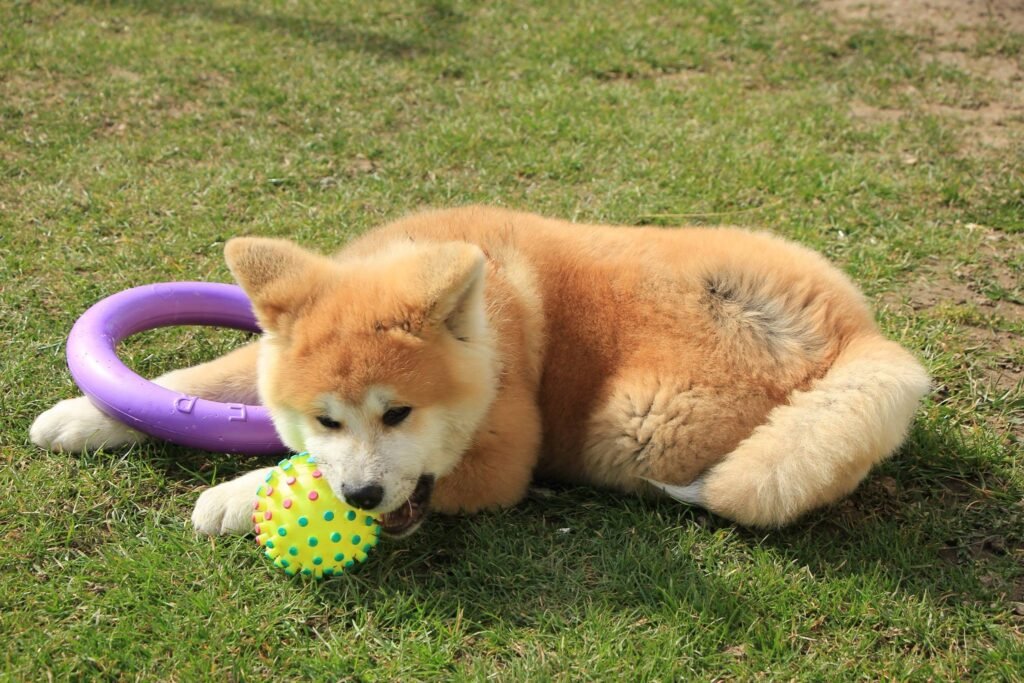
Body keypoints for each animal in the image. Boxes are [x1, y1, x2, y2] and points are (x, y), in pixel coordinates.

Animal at [31, 206, 931, 536]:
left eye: (398, 414)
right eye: (326, 419)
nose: (362, 496)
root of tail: (858, 332)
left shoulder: (500, 461)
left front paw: (236, 495)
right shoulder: (260, 355)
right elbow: (202, 379)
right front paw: (84, 414)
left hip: (633, 420)